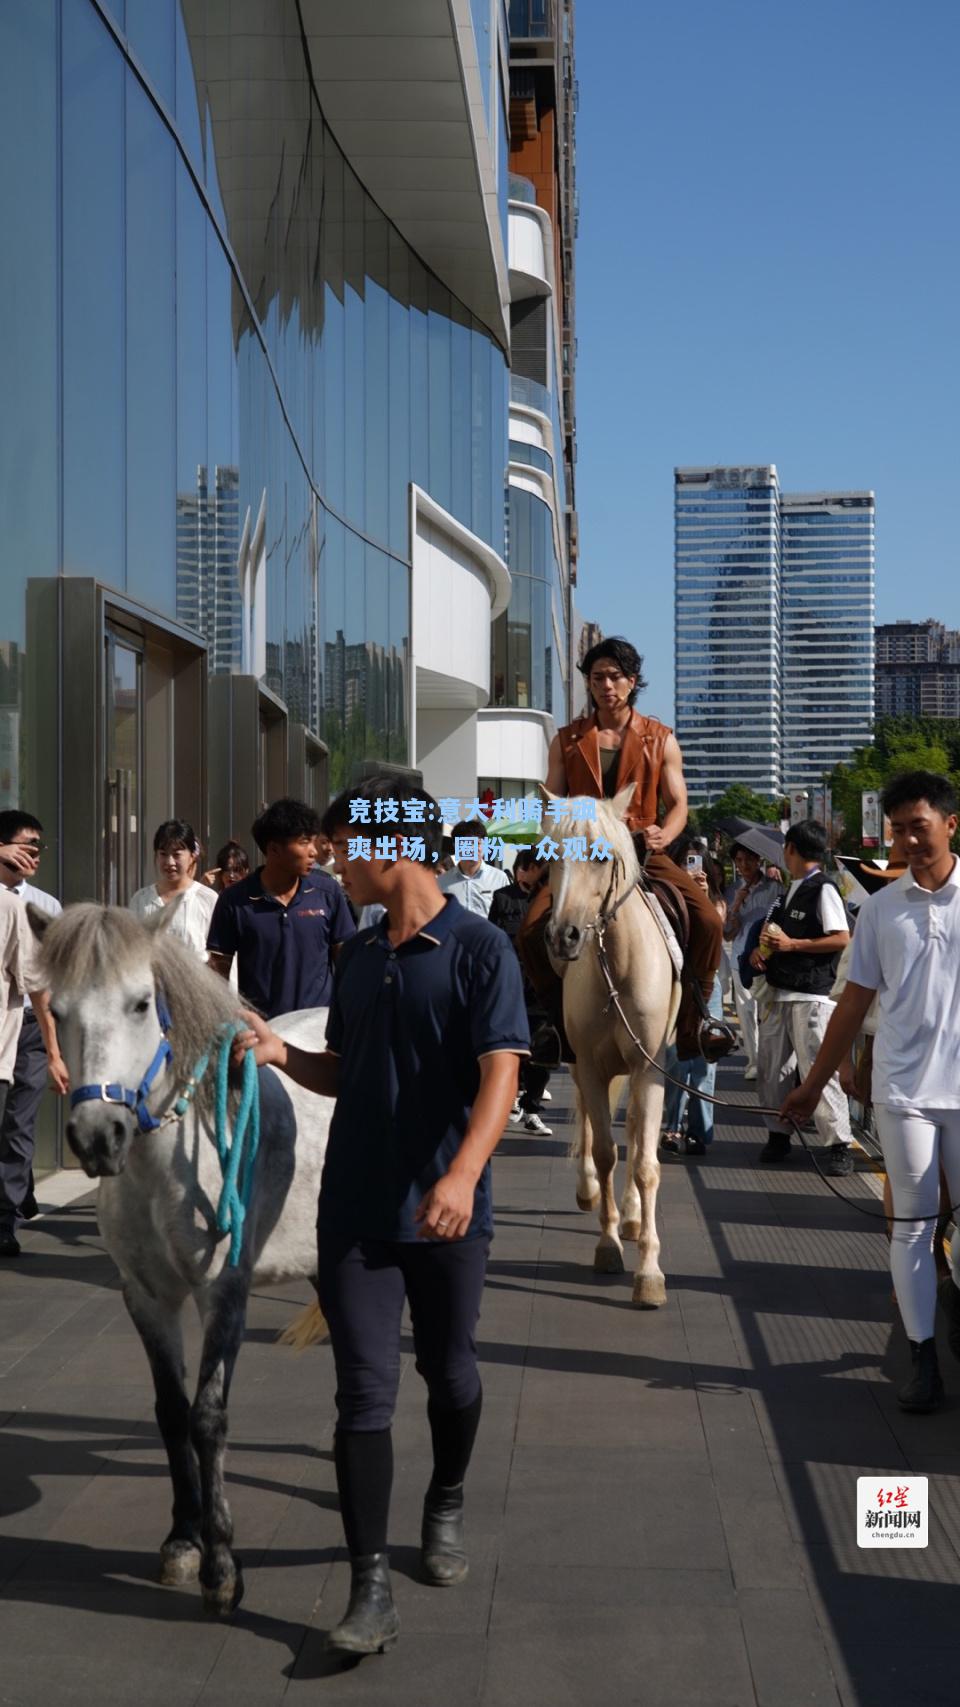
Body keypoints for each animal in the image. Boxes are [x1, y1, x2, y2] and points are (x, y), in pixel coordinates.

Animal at [27, 908, 333, 1611]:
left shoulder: (223, 1292)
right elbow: (170, 1415)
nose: (97, 1136)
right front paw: (182, 1542)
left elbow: (207, 1418)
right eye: (57, 1009)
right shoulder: (145, 1295)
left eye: (141, 1003)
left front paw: (222, 1567)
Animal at [543, 785, 676, 1304]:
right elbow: (604, 1153)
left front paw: (650, 1272)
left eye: (601, 857)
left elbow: (645, 1162)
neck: (616, 963)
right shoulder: (592, 1066)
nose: (563, 936)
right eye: (549, 855)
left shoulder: (650, 1068)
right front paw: (609, 1246)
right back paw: (591, 1193)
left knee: (637, 1129)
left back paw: (636, 1216)